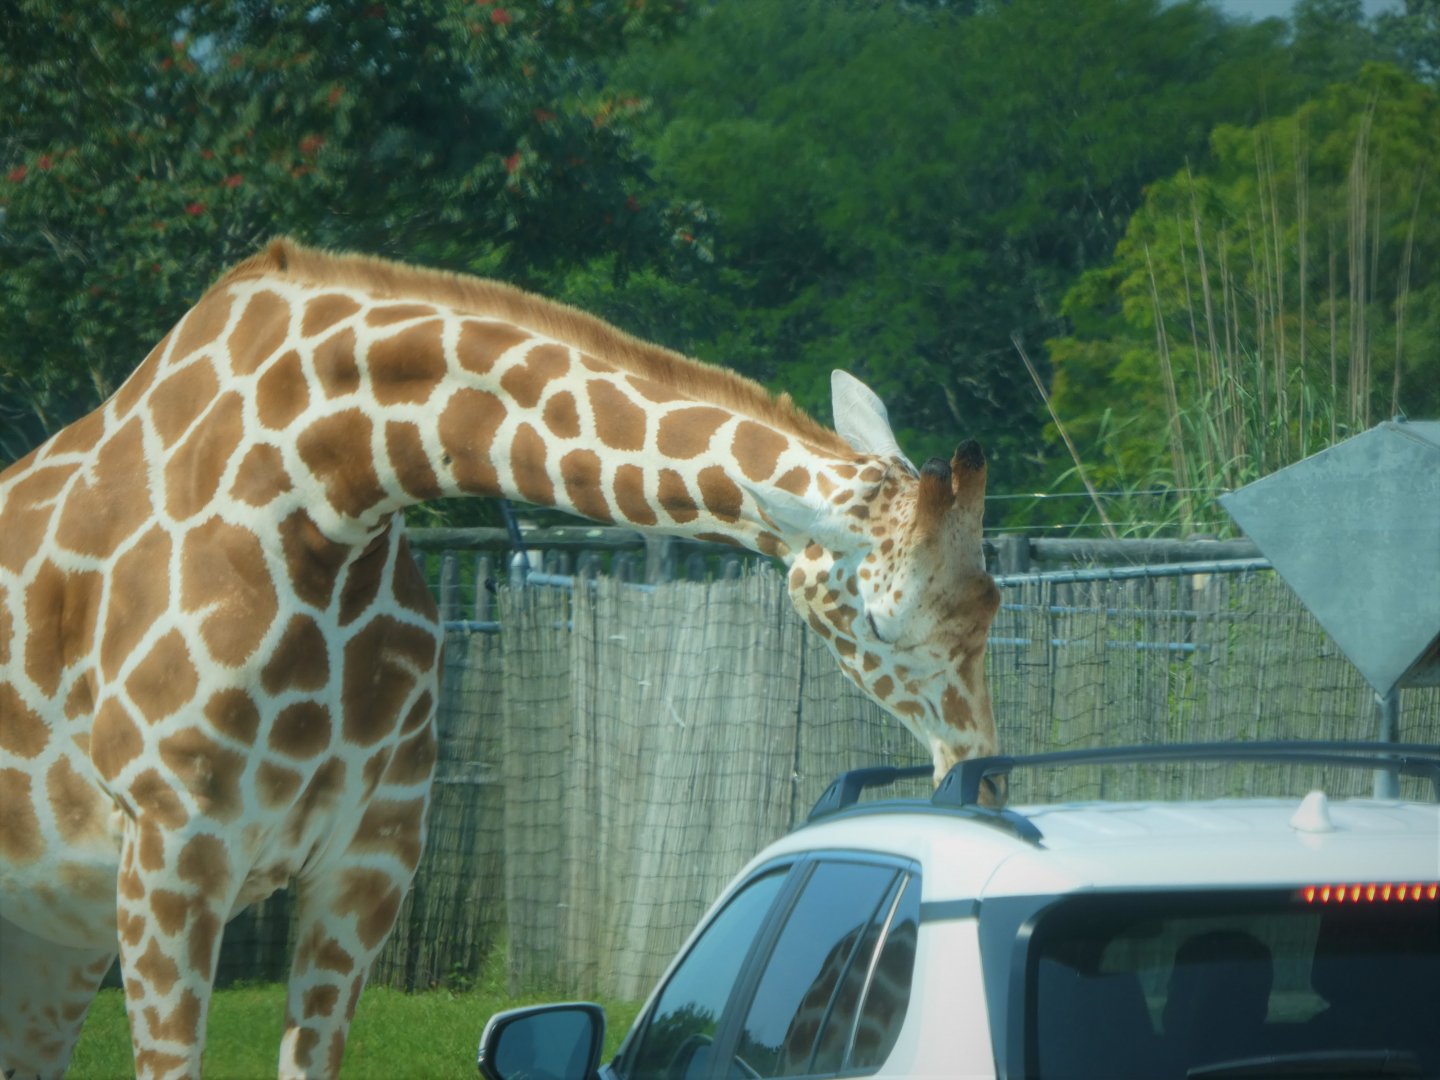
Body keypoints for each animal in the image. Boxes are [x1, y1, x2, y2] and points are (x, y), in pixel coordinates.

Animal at [0, 238, 999, 1079]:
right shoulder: (171, 853)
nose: (977, 761)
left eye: (991, 600)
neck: (328, 491)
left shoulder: (370, 862)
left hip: (60, 935)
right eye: (880, 623)